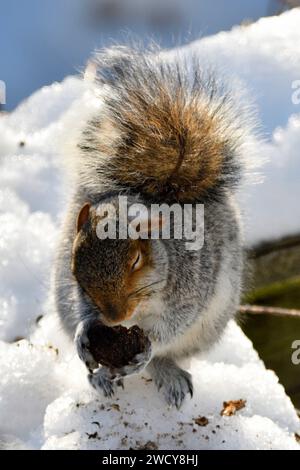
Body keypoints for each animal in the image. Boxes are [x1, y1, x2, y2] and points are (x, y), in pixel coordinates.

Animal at [53, 46, 253, 410]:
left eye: (136, 259)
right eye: (74, 265)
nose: (113, 319)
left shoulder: (190, 289)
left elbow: (172, 326)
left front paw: (147, 352)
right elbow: (83, 310)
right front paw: (84, 332)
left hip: (209, 324)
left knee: (170, 353)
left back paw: (163, 371)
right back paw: (100, 375)